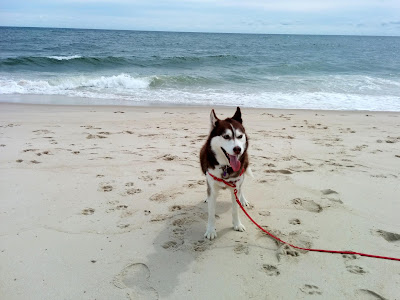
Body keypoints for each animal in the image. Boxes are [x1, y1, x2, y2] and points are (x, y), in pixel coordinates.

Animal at [200, 106, 250, 240]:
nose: (238, 149)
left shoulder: (236, 186)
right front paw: (210, 230)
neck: (225, 167)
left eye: (240, 136)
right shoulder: (212, 187)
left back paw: (243, 200)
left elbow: (235, 209)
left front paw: (237, 224)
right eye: (226, 136)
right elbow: (211, 212)